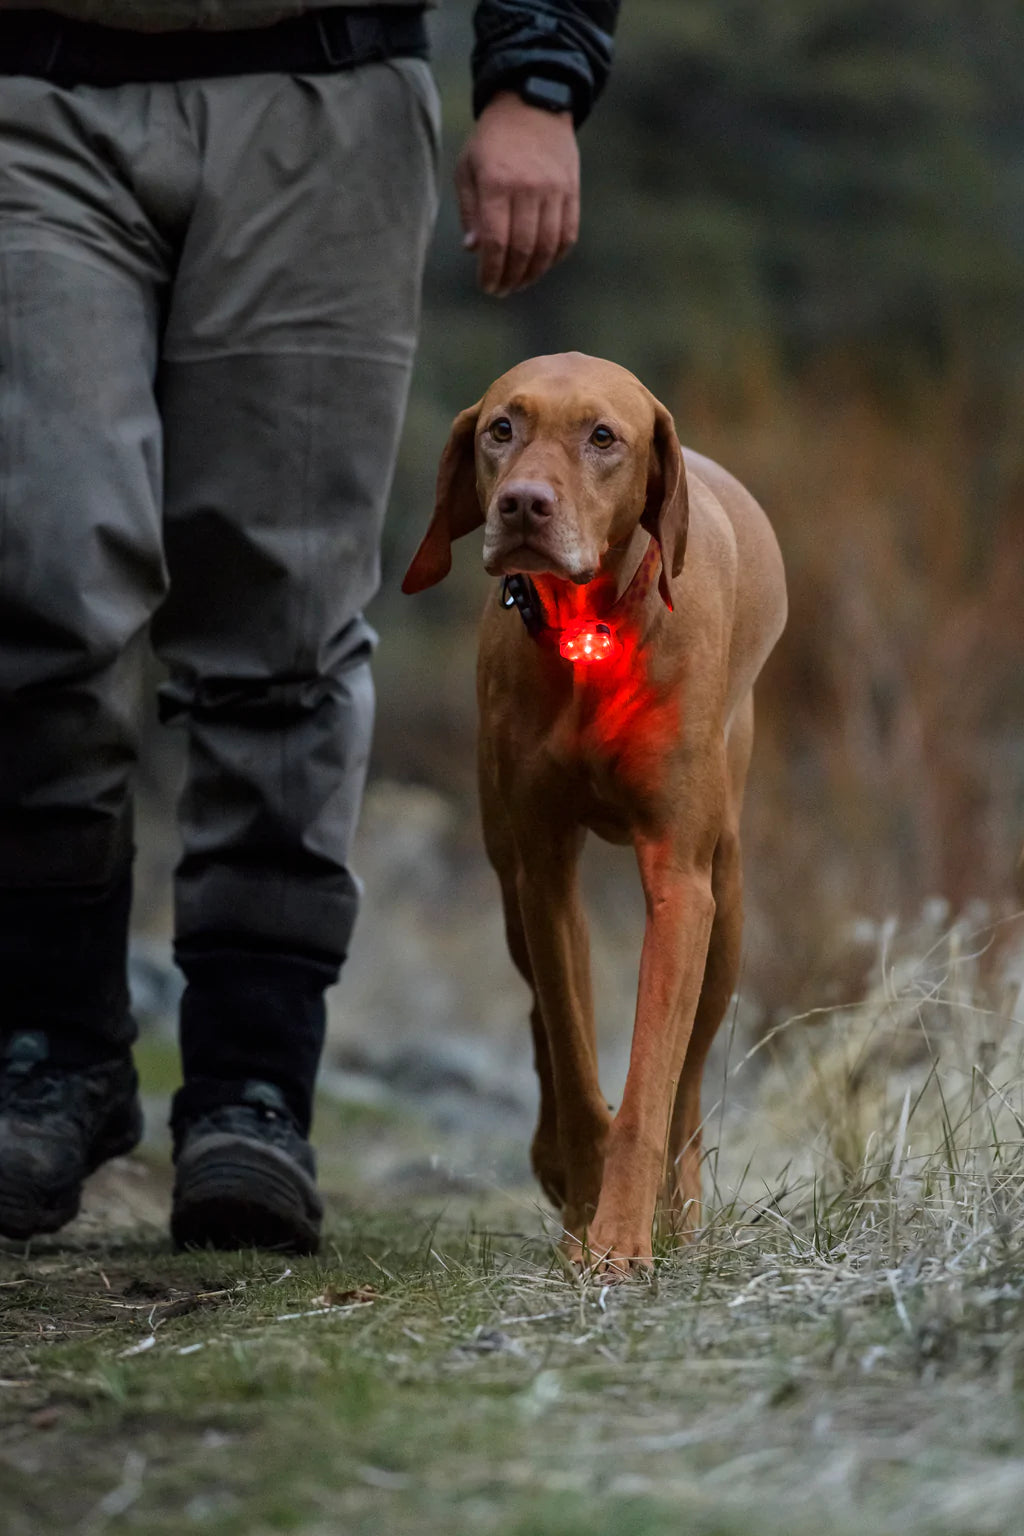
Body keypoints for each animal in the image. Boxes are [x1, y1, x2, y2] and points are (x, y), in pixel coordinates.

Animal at [399, 356, 786, 1271]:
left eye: (602, 437)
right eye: (501, 428)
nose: (522, 505)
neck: (592, 630)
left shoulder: (680, 882)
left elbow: (650, 1081)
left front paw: (620, 1239)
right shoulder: (541, 870)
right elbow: (575, 1062)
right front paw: (585, 1210)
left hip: (727, 904)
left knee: (689, 1078)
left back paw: (678, 1207)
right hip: (506, 876)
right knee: (542, 1015)